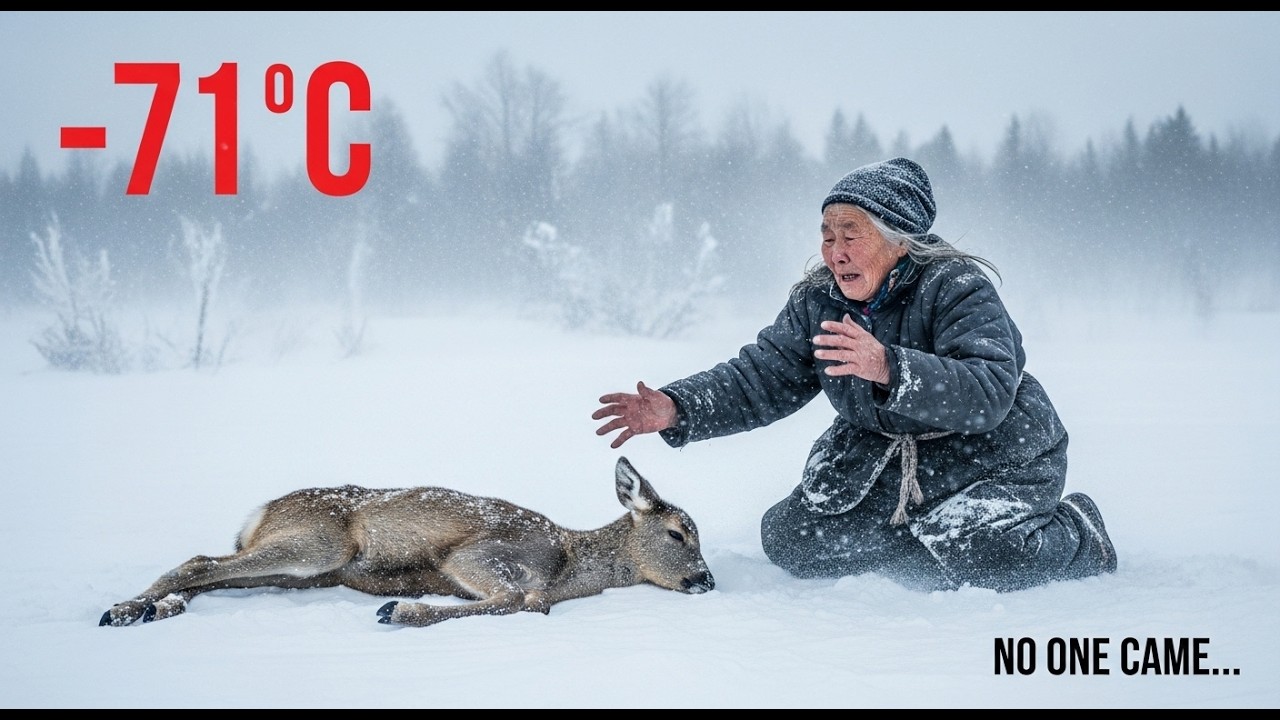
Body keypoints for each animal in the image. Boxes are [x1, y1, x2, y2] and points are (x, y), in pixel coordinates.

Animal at [99, 456, 714, 628]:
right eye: (679, 533)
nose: (707, 579)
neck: (569, 565)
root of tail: (260, 512)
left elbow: (526, 603)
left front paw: (401, 606)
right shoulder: (477, 555)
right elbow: (522, 600)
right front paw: (401, 609)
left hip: (306, 569)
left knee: (212, 570)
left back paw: (153, 608)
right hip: (319, 544)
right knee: (201, 559)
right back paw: (126, 609)